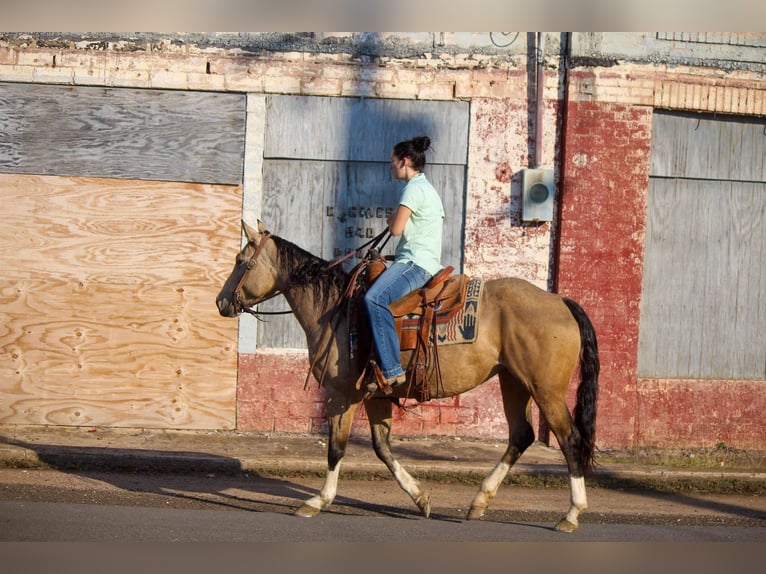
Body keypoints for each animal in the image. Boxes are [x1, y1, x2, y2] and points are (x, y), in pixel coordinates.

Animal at [216, 220, 600, 536]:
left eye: (240, 261)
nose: (221, 302)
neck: (335, 309)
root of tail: (559, 300)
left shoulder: (342, 395)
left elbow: (336, 448)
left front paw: (318, 500)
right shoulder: (376, 396)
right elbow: (383, 449)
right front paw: (421, 498)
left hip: (545, 389)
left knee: (568, 439)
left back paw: (572, 513)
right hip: (514, 382)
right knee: (521, 436)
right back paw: (479, 501)